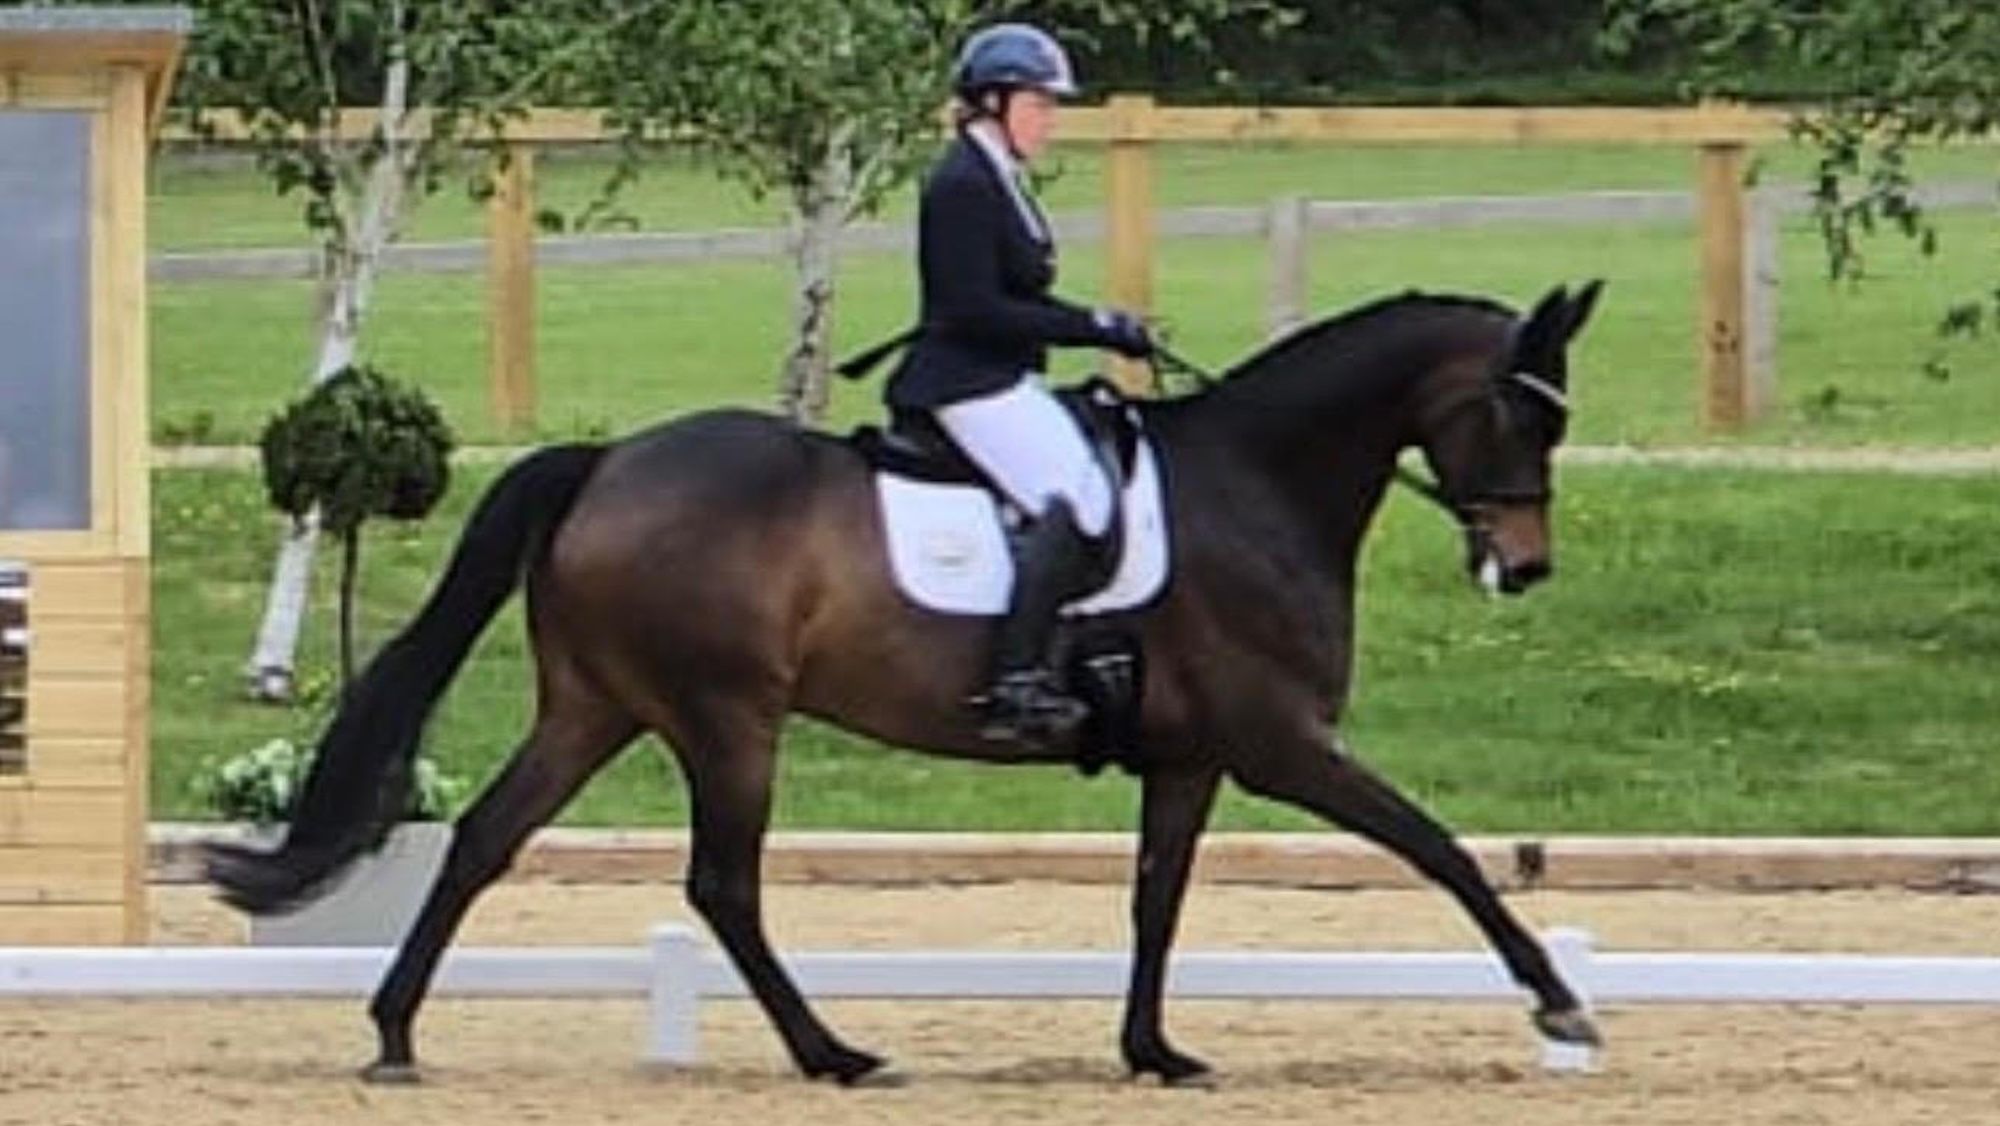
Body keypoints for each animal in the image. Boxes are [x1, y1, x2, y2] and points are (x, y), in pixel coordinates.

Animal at [208, 280, 1606, 1087]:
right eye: (1520, 413)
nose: (1525, 567)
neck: (1255, 487)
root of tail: (604, 464)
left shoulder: (1192, 756)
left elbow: (1155, 904)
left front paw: (1151, 1051)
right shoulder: (1281, 743)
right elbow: (1437, 848)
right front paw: (1559, 1006)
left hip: (598, 705)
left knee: (485, 839)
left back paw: (394, 1035)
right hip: (726, 717)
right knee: (720, 885)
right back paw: (833, 1054)